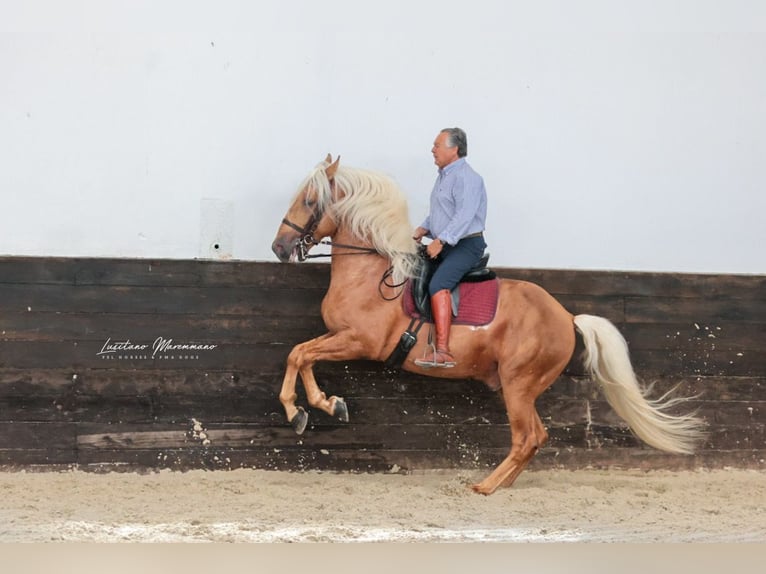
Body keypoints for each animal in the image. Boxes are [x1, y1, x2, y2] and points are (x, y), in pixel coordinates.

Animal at [270, 155, 705, 495]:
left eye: (309, 199)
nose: (279, 247)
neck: (373, 274)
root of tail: (566, 316)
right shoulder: (339, 336)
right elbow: (301, 355)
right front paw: (322, 406)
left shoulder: (360, 341)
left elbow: (298, 354)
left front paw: (302, 410)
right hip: (519, 387)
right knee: (536, 437)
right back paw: (503, 482)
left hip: (519, 383)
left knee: (527, 437)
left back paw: (486, 486)